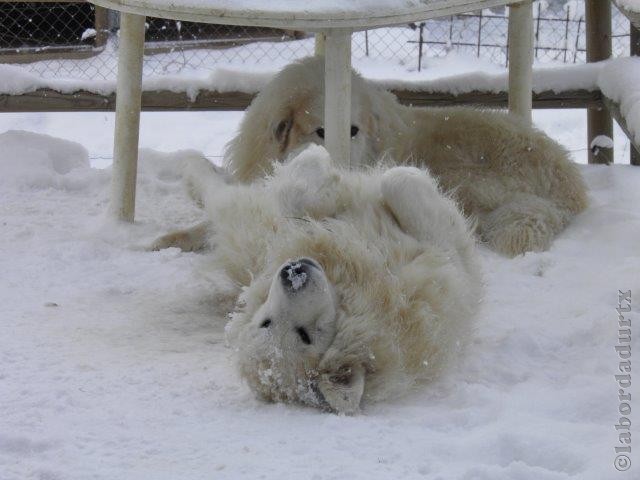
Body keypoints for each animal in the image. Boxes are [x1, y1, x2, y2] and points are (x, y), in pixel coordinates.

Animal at [179, 145, 480, 412]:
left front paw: (317, 158)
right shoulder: (445, 260)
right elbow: (400, 182)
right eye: (304, 336)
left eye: (265, 322)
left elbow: (296, 197)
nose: (293, 273)